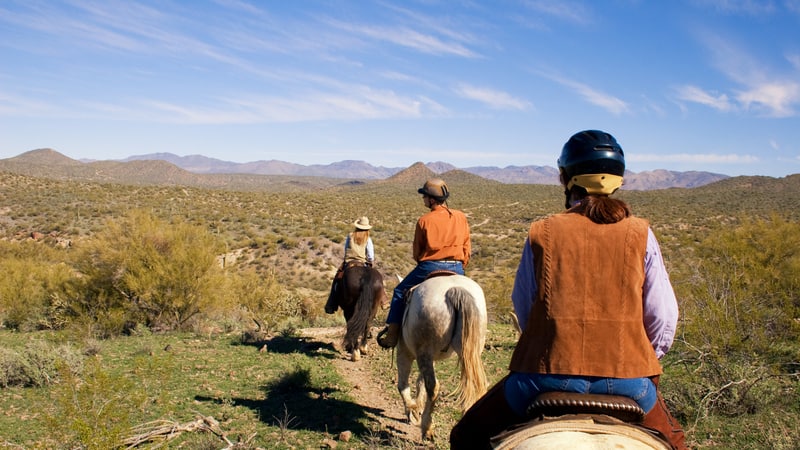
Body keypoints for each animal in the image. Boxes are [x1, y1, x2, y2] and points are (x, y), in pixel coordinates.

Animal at [394, 272, 488, 442]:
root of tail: (454, 290)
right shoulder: (432, 358)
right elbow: (420, 382)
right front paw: (417, 407)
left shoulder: (405, 352)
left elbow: (403, 384)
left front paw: (412, 412)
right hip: (469, 352)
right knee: (470, 386)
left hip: (423, 353)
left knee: (433, 386)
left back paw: (427, 428)